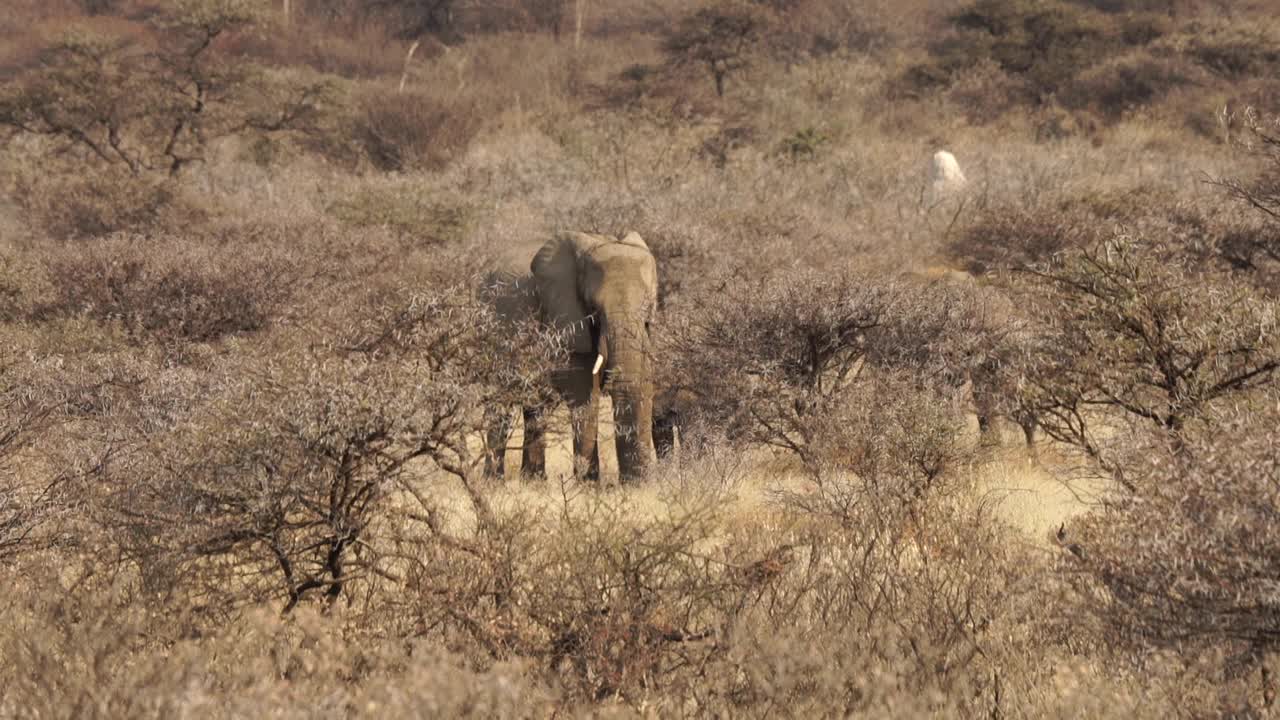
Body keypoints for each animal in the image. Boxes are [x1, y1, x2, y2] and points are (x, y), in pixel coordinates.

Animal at [481, 229, 660, 481]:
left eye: (649, 309)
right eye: (594, 310)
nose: (634, 483)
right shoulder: (567, 320)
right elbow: (583, 392)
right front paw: (589, 484)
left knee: (536, 407)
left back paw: (534, 481)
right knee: (501, 401)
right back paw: (493, 482)